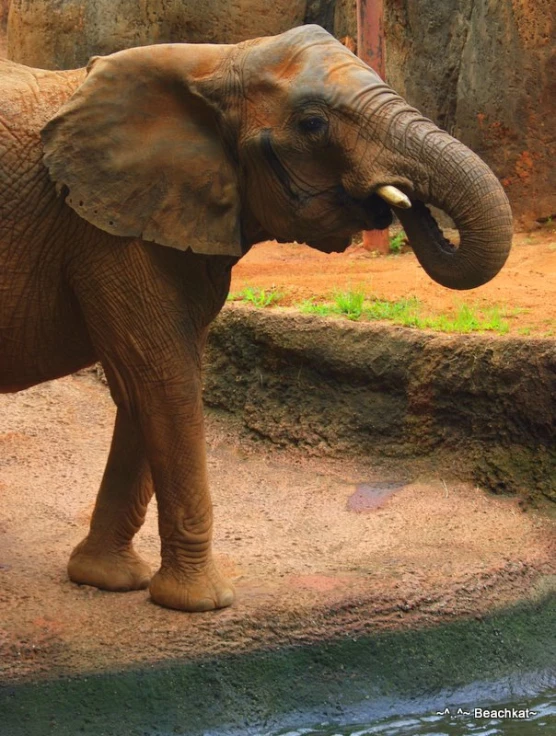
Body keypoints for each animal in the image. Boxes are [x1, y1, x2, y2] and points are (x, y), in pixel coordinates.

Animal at [0, 24, 512, 608]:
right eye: (312, 124)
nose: (400, 204)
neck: (215, 60)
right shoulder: (102, 231)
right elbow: (161, 377)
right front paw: (202, 603)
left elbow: (149, 383)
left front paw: (108, 581)